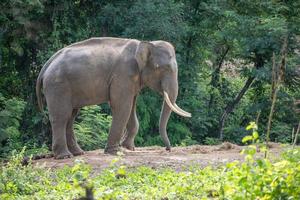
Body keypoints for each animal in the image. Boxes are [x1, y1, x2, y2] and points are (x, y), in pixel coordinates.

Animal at [36, 37, 191, 159]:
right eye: (162, 68)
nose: (168, 149)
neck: (144, 43)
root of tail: (47, 65)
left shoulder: (132, 80)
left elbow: (132, 107)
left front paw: (128, 147)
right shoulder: (123, 75)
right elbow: (122, 107)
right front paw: (115, 151)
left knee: (71, 116)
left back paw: (78, 153)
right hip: (58, 86)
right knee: (61, 116)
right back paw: (64, 156)